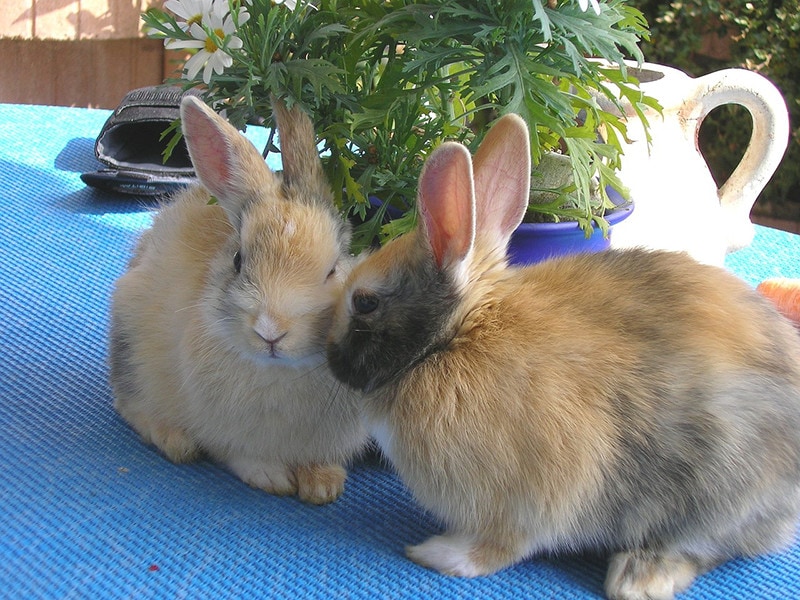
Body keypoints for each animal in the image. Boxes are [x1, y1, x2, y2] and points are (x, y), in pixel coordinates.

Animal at [109, 95, 368, 505]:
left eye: (332, 270)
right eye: (238, 261)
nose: (270, 331)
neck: (282, 371)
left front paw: (323, 484)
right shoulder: (227, 435)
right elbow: (240, 456)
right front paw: (271, 477)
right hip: (130, 347)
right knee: (129, 406)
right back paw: (175, 440)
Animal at [326, 113, 800, 598]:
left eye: (364, 303)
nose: (329, 358)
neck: (456, 337)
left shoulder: (530, 497)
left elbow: (502, 545)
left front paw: (441, 554)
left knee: (700, 547)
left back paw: (634, 578)